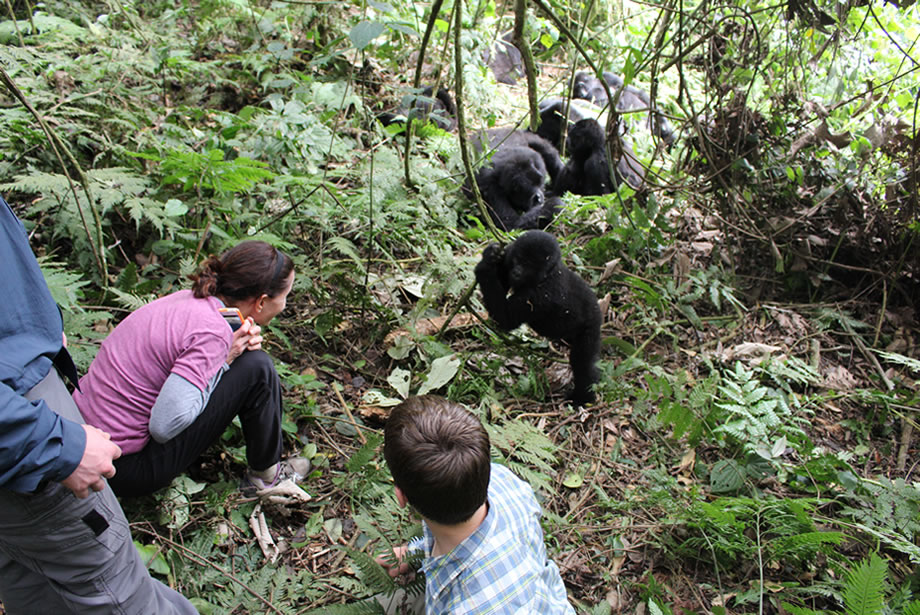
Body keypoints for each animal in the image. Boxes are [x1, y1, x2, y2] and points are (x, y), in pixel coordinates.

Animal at [474, 231, 604, 410]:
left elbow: (505, 318)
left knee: (583, 362)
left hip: (591, 326)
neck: (548, 273)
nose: (517, 272)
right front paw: (492, 254)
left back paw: (584, 397)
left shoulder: (540, 295)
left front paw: (484, 267)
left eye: (528, 264)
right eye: (518, 259)